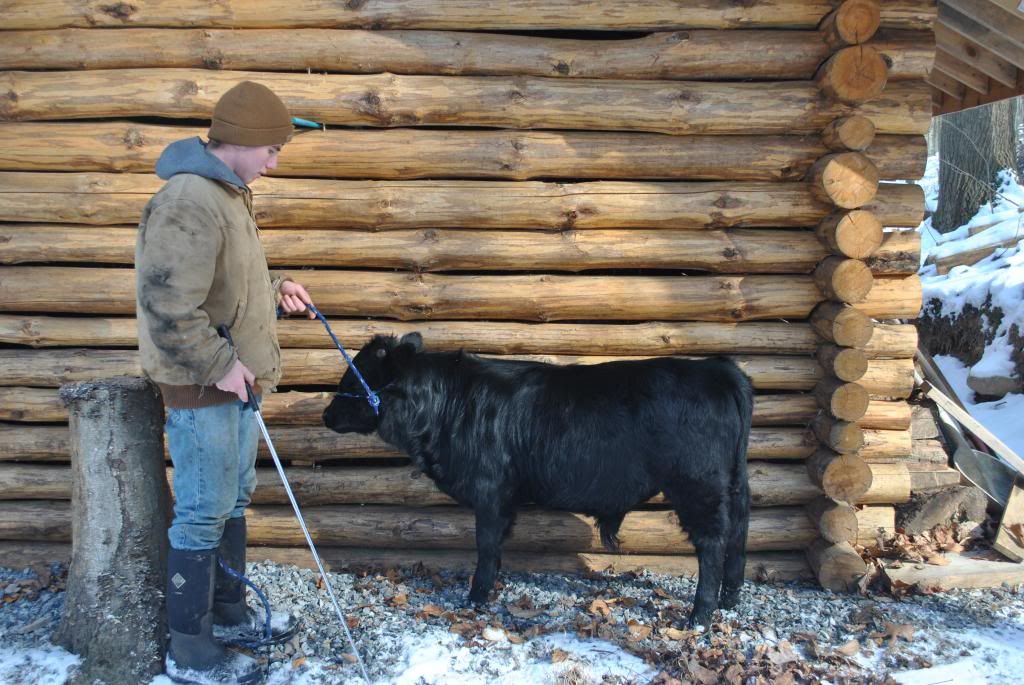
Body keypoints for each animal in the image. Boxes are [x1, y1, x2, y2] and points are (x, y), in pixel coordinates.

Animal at [322, 333, 753, 626]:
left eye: (351, 382)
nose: (325, 415)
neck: (447, 405)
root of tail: (716, 368)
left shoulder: (490, 491)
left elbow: (486, 545)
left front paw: (476, 596)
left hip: (697, 486)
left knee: (712, 543)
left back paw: (700, 616)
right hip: (732, 484)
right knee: (738, 534)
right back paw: (730, 599)